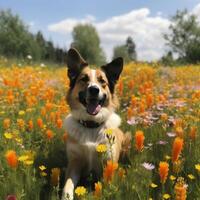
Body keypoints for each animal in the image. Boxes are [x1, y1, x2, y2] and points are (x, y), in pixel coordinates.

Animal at [61, 48, 130, 200]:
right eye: (84, 79)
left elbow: (103, 188)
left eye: (102, 81)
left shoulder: (108, 165)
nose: (94, 89)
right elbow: (67, 185)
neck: (91, 124)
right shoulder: (74, 163)